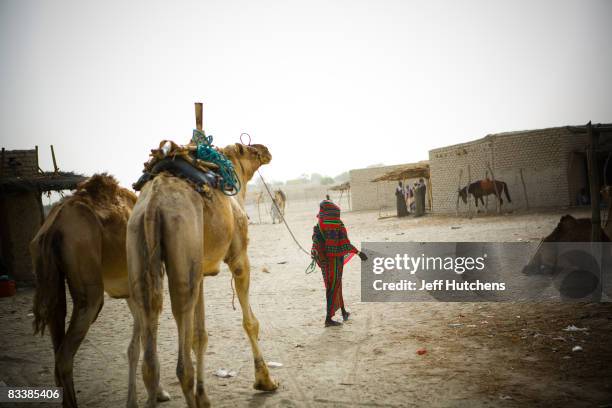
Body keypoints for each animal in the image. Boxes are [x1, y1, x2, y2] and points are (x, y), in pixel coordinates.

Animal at [30, 174, 170, 406]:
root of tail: (52, 227)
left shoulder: (131, 291)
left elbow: (137, 343)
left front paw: (143, 397)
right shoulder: (151, 283)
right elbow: (147, 338)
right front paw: (154, 394)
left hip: (51, 281)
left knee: (56, 342)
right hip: (90, 289)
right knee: (64, 356)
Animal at [128, 142, 278, 406]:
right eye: (250, 148)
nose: (266, 150)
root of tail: (153, 204)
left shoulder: (200, 273)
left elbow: (200, 336)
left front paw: (205, 396)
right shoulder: (239, 257)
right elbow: (250, 322)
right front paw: (265, 380)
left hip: (140, 247)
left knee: (150, 354)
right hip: (183, 239)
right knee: (182, 367)